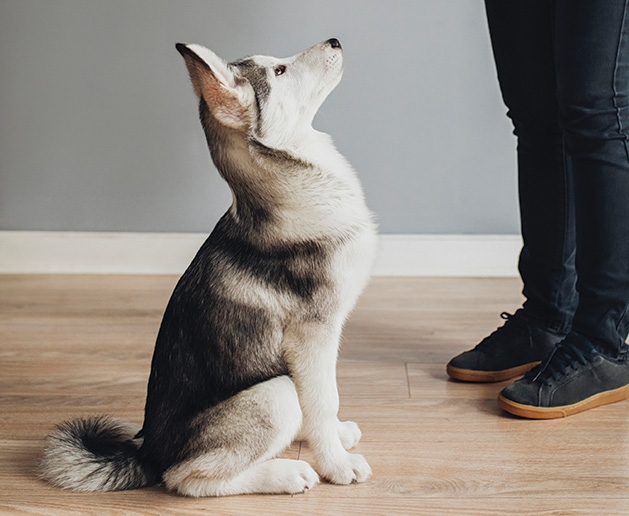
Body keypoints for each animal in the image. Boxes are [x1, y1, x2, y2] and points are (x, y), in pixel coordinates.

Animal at [39, 38, 376, 498]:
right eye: (280, 72)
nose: (335, 41)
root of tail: (148, 453)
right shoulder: (313, 335)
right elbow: (324, 399)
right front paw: (337, 465)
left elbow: (323, 402)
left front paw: (336, 438)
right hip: (275, 394)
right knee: (187, 479)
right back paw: (286, 474)